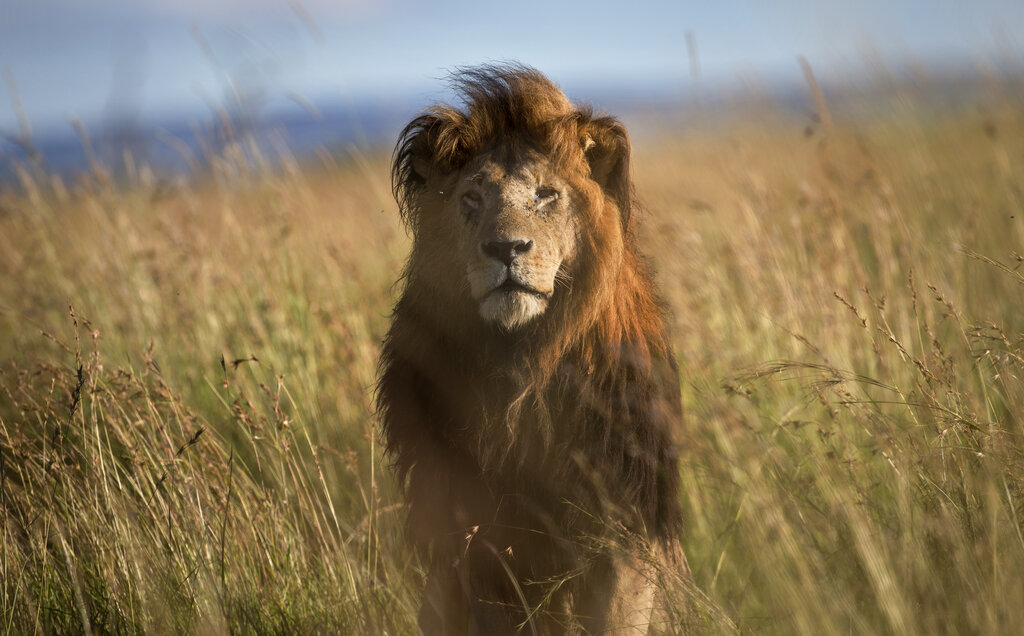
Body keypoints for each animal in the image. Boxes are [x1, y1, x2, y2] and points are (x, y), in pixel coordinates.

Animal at [376, 65, 688, 634]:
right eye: (472, 199)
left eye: (545, 196)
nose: (506, 248)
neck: (521, 363)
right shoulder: (476, 537)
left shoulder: (626, 522)